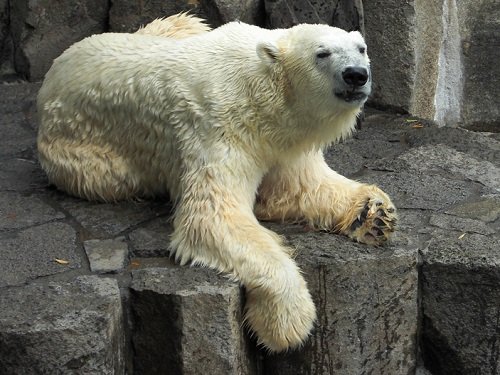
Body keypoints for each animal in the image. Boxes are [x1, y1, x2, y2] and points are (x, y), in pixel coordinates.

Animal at [37, 13, 396, 352]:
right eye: (322, 53)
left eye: (361, 49)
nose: (356, 74)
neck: (262, 89)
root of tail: (50, 76)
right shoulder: (222, 127)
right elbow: (212, 216)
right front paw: (287, 324)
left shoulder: (282, 141)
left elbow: (300, 186)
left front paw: (374, 215)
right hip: (87, 158)